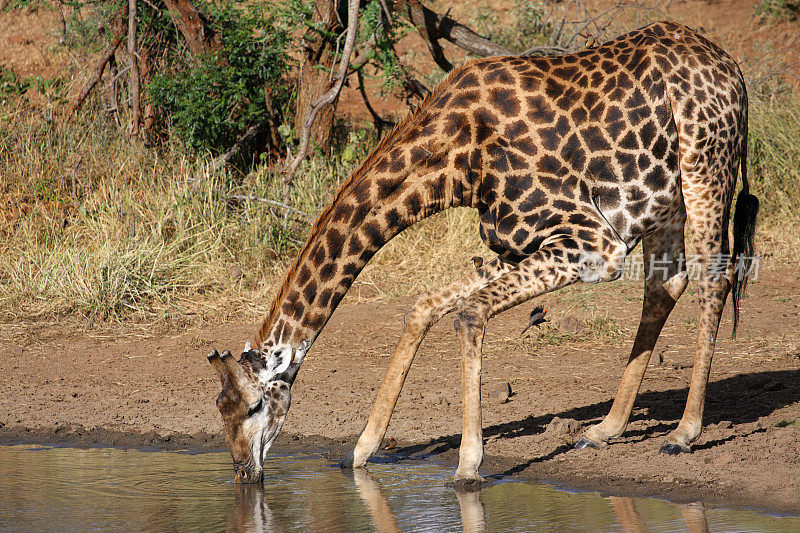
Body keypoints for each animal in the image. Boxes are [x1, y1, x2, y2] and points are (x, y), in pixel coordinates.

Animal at [206, 20, 756, 484]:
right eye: (220, 408)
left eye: (254, 407)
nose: (243, 472)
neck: (456, 162)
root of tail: (733, 69)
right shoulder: (518, 243)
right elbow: (424, 306)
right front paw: (360, 451)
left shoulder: (595, 245)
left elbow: (469, 313)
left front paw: (469, 465)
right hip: (666, 198)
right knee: (667, 282)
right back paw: (607, 429)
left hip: (706, 166)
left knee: (713, 276)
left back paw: (684, 433)